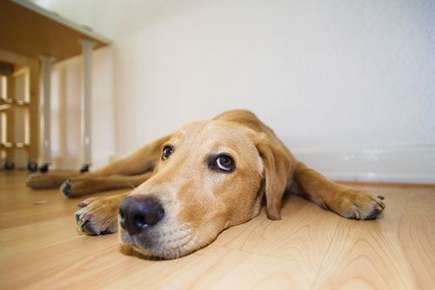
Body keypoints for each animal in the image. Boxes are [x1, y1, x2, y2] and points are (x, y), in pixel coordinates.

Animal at [26, 110, 384, 258]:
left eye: (224, 162)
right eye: (170, 152)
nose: (132, 214)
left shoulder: (294, 166)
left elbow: (316, 178)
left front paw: (354, 195)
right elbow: (142, 185)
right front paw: (106, 207)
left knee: (124, 179)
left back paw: (73, 185)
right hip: (142, 155)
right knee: (118, 173)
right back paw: (54, 179)